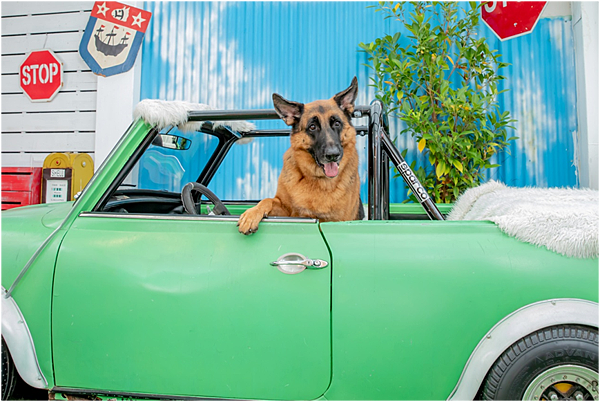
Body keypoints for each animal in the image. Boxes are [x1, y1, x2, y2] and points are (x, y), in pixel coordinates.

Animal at [238, 77, 364, 234]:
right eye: (312, 127)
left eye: (336, 123)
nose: (333, 154)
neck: (317, 180)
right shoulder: (285, 210)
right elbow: (267, 200)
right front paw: (251, 214)